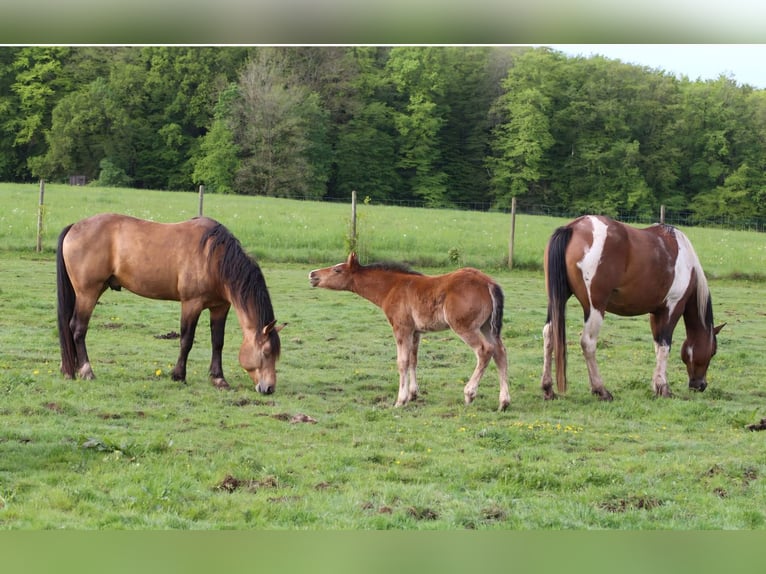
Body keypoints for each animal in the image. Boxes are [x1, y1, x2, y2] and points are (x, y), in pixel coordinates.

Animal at [57, 214, 284, 394]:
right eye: (266, 352)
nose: (269, 388)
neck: (214, 257)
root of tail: (75, 226)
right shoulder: (191, 304)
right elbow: (186, 341)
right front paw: (178, 375)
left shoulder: (220, 307)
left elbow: (217, 342)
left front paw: (219, 378)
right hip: (88, 293)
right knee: (78, 328)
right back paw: (87, 371)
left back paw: (71, 370)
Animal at [306, 254, 510, 412]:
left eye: (337, 270)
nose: (312, 274)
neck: (391, 287)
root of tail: (488, 282)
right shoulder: (416, 331)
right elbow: (413, 359)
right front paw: (413, 394)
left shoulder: (401, 328)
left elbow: (402, 362)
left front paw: (400, 400)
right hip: (487, 327)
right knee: (500, 353)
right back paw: (504, 402)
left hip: (465, 327)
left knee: (484, 351)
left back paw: (469, 393)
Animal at [540, 215, 728, 400]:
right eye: (713, 351)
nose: (700, 385)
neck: (688, 263)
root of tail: (573, 227)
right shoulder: (672, 308)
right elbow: (665, 346)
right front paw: (663, 388)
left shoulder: (656, 312)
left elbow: (657, 346)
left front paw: (656, 385)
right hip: (595, 308)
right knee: (588, 342)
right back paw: (601, 390)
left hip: (556, 300)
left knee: (549, 333)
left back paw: (548, 388)